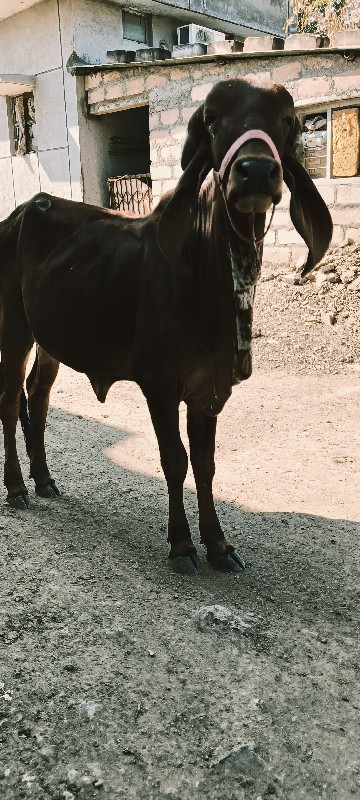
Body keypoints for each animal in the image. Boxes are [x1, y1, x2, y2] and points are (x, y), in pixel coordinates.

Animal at [0, 79, 332, 576]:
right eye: (212, 119)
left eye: (287, 120)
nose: (255, 171)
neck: (208, 276)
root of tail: (24, 211)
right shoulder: (158, 383)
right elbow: (175, 460)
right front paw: (182, 545)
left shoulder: (209, 388)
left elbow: (206, 464)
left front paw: (219, 545)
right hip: (14, 329)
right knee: (8, 401)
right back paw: (17, 487)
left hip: (49, 340)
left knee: (36, 398)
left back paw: (43, 479)